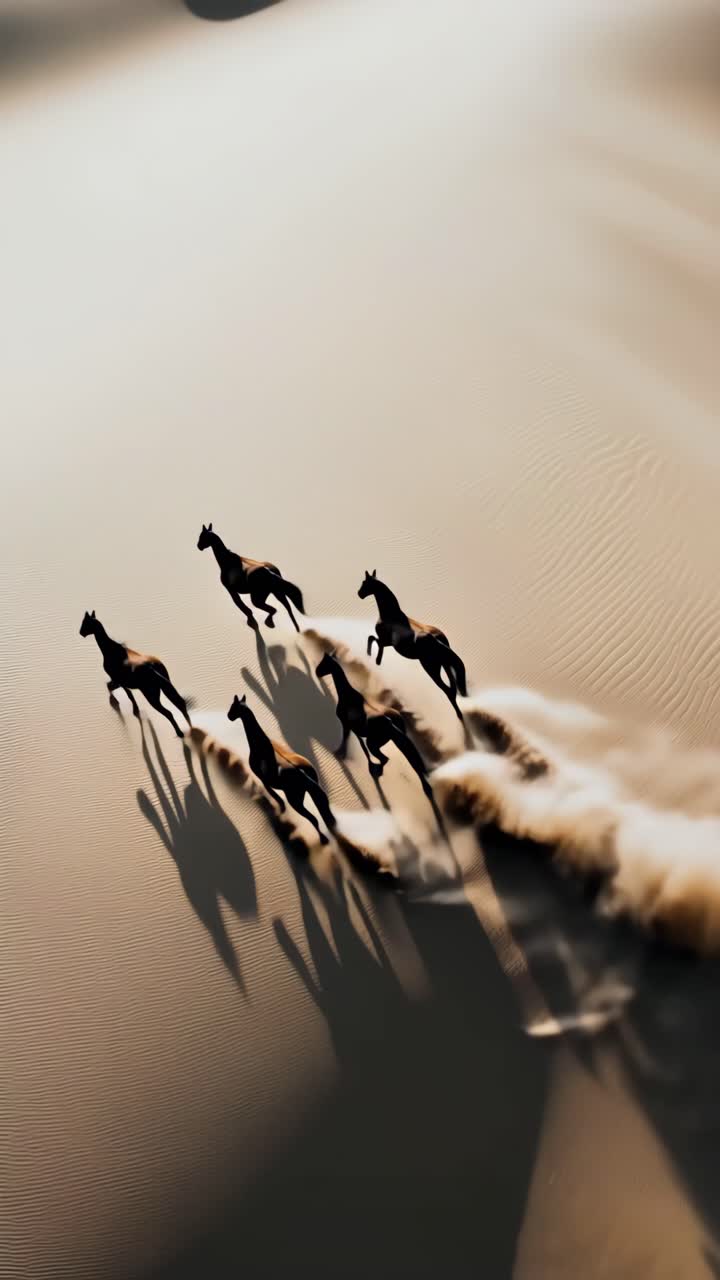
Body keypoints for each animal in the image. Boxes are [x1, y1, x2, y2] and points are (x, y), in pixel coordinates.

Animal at [227, 693, 336, 845]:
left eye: (233, 707)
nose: (228, 716)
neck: (260, 746)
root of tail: (303, 774)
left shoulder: (264, 780)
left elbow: (276, 798)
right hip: (313, 792)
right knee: (324, 813)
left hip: (296, 801)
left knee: (313, 819)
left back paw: (323, 839)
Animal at [315, 650, 435, 803]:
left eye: (324, 663)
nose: (317, 672)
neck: (346, 695)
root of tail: (390, 722)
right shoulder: (354, 730)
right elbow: (358, 745)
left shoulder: (346, 725)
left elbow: (345, 739)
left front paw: (340, 754)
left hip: (374, 744)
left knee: (384, 759)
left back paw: (377, 772)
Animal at [357, 570, 467, 719]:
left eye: (365, 583)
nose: (359, 593)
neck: (391, 615)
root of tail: (437, 639)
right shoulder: (388, 644)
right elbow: (375, 641)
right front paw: (376, 659)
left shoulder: (385, 641)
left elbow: (372, 639)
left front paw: (374, 658)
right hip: (445, 665)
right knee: (452, 688)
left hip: (431, 668)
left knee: (447, 691)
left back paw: (460, 718)